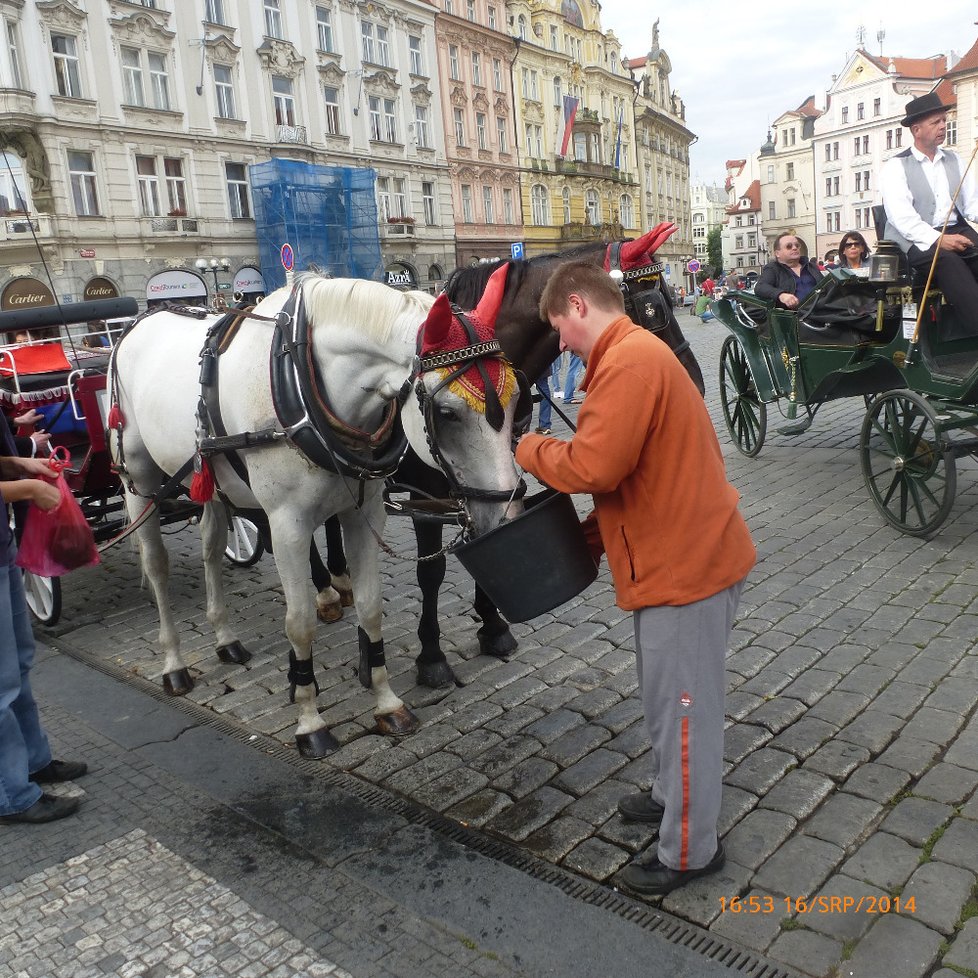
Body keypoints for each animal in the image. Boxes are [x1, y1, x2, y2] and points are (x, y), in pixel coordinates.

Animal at [107, 274, 524, 756]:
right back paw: (174, 663)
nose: (507, 514)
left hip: (205, 480)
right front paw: (310, 721)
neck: (303, 382)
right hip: (139, 479)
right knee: (157, 566)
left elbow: (370, 606)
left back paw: (225, 639)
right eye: (445, 412)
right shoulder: (287, 524)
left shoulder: (364, 513)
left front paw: (386, 703)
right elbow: (300, 623)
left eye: (519, 397)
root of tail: (138, 322)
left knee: (212, 549)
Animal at [312, 228, 700, 688]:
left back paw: (340, 580)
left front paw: (493, 625)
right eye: (653, 305)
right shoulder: (426, 496)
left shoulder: (487, 481)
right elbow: (431, 574)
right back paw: (325, 588)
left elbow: (495, 533)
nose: (693, 379)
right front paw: (431, 655)